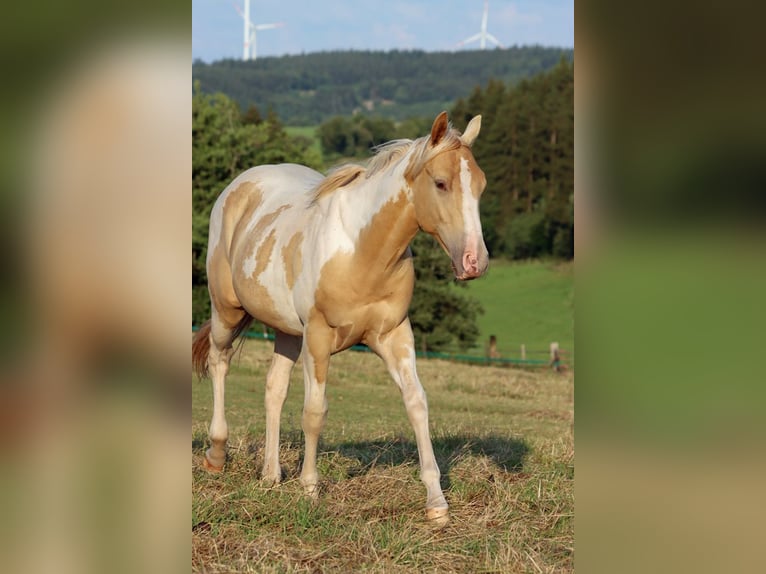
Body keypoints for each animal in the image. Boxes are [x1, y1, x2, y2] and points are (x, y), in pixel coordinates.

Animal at [192, 111, 489, 525]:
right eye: (441, 183)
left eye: (481, 185)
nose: (474, 262)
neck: (361, 251)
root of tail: (238, 187)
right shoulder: (318, 337)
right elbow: (315, 411)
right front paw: (310, 490)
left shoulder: (395, 335)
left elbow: (416, 403)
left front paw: (436, 502)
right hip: (227, 310)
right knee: (220, 362)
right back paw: (217, 455)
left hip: (287, 332)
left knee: (274, 389)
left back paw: (270, 476)